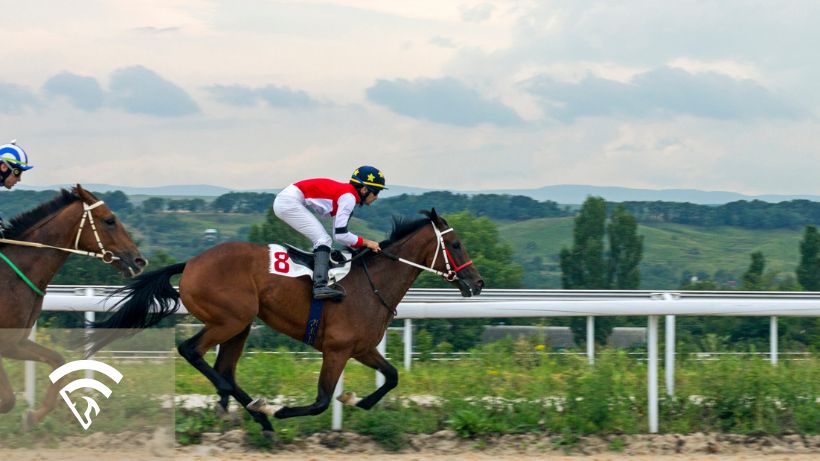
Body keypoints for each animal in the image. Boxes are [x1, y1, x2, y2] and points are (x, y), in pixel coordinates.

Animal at [0, 185, 146, 426]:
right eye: (109, 220)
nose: (138, 261)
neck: (12, 277)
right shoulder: (6, 343)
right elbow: (8, 400)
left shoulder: (16, 341)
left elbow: (58, 361)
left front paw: (33, 416)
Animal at [86, 208, 484, 432]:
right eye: (456, 244)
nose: (477, 283)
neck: (371, 285)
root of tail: (193, 262)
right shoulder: (336, 350)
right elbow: (322, 400)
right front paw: (282, 409)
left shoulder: (362, 348)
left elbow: (392, 377)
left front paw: (355, 400)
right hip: (230, 320)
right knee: (191, 351)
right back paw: (251, 406)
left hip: (241, 324)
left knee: (225, 368)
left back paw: (254, 411)